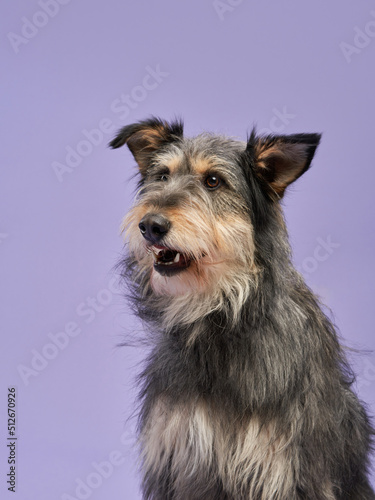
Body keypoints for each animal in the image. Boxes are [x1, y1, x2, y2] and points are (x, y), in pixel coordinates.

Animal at [110, 118, 374, 500]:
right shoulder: (183, 459)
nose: (150, 225)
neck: (222, 317)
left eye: (213, 181)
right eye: (161, 175)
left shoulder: (282, 468)